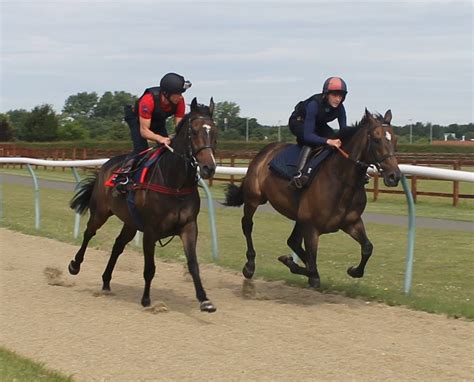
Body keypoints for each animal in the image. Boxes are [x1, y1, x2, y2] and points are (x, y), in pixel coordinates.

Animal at [68, 97, 217, 312]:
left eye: (215, 132)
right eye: (194, 131)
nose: (208, 168)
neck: (175, 184)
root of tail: (106, 165)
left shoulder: (189, 226)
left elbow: (193, 264)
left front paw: (204, 299)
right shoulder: (150, 230)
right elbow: (150, 268)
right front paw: (146, 299)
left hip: (130, 222)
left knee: (117, 245)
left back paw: (106, 282)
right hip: (101, 212)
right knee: (89, 233)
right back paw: (75, 265)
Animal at [225, 109, 400, 288]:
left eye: (394, 139)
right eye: (377, 140)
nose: (394, 176)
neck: (340, 179)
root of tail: (264, 152)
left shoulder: (351, 222)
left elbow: (367, 248)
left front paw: (353, 270)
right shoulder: (311, 227)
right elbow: (312, 269)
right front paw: (292, 263)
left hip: (299, 217)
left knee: (292, 241)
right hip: (254, 198)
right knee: (248, 225)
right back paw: (249, 266)